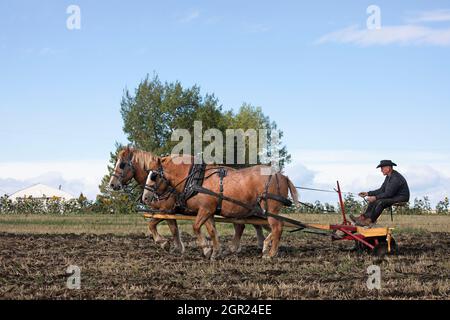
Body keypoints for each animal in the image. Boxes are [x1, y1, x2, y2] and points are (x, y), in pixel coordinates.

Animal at [108, 148, 268, 255]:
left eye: (122, 164)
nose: (112, 184)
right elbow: (175, 228)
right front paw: (178, 246)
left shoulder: (167, 210)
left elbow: (157, 225)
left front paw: (166, 244)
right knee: (248, 225)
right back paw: (254, 244)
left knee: (246, 225)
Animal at [142, 154, 300, 258]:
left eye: (153, 176)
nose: (145, 198)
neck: (197, 180)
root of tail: (282, 176)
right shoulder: (207, 211)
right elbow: (212, 231)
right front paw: (215, 252)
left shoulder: (204, 209)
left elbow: (195, 227)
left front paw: (206, 248)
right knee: (267, 227)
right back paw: (264, 246)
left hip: (270, 208)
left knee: (277, 227)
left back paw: (270, 253)